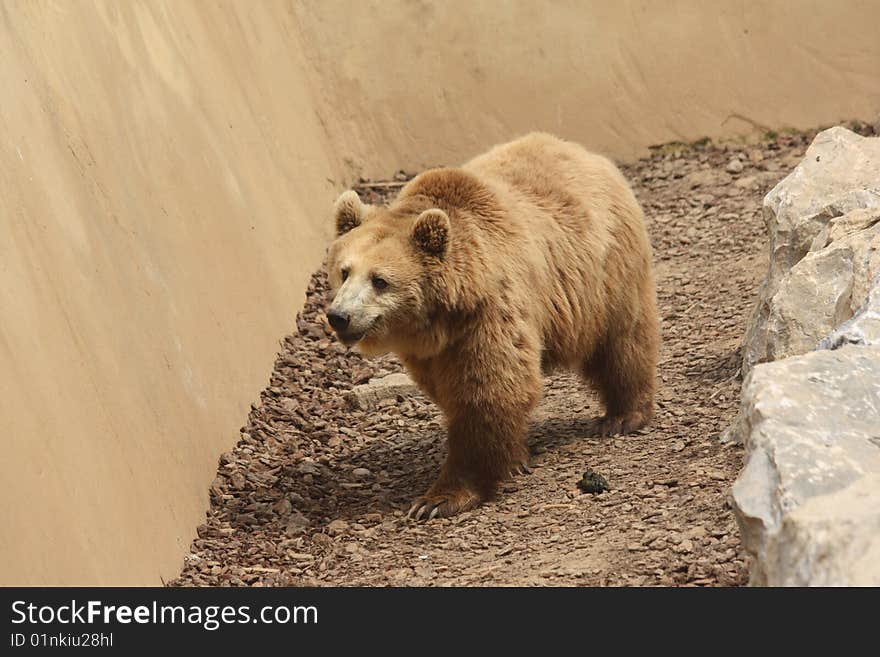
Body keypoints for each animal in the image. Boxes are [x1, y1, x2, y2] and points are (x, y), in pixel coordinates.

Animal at [326, 132, 656, 516]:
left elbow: (487, 391)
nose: (339, 316)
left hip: (604, 272)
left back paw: (622, 416)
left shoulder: (488, 314)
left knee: (622, 339)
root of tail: (579, 149)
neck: (440, 318)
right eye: (344, 271)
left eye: (380, 280)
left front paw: (440, 498)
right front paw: (513, 458)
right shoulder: (430, 354)